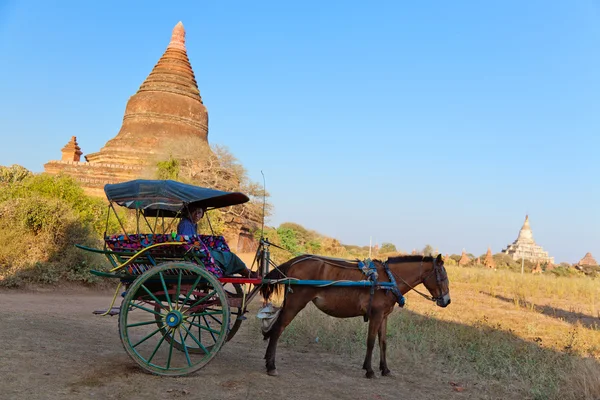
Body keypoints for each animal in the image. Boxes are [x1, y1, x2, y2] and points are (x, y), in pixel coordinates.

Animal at [258, 253, 450, 378]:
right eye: (442, 276)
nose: (447, 301)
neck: (388, 280)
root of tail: (295, 261)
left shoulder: (384, 316)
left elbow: (383, 343)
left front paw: (385, 369)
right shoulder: (376, 315)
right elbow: (371, 342)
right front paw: (369, 370)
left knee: (275, 327)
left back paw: (267, 360)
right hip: (295, 303)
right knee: (278, 329)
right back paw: (271, 366)